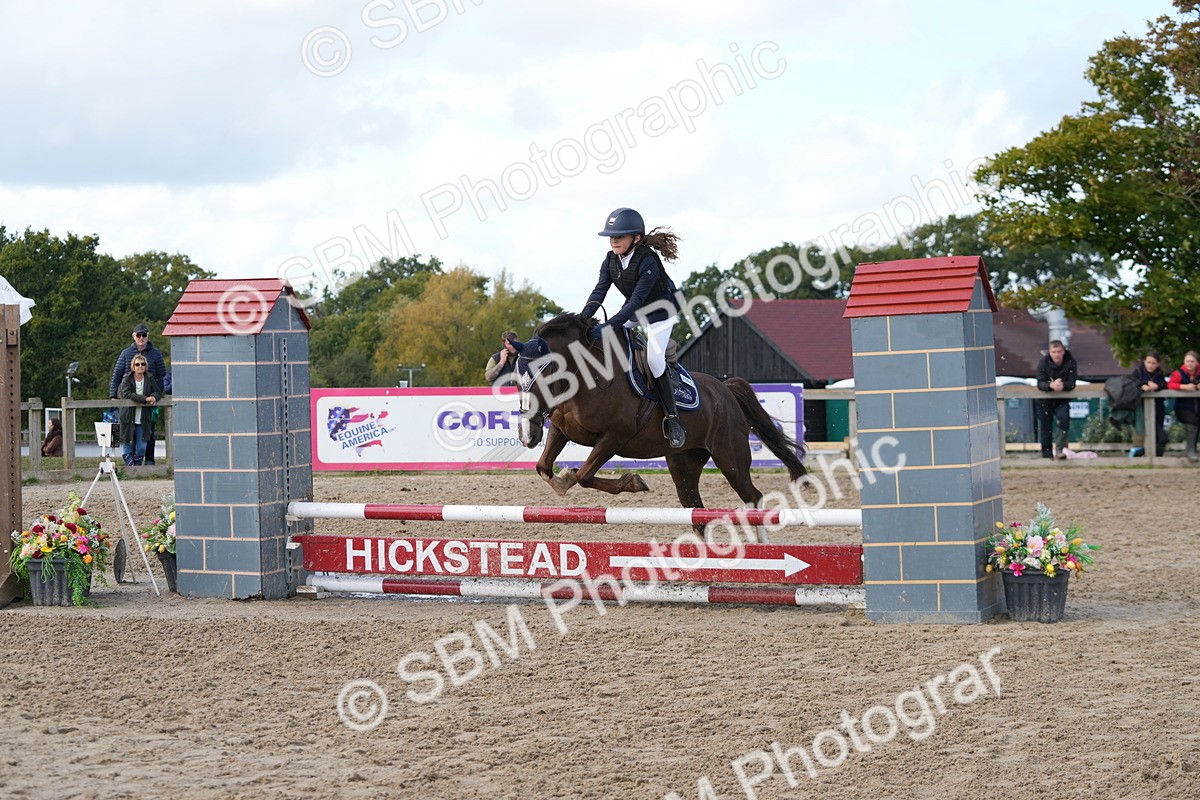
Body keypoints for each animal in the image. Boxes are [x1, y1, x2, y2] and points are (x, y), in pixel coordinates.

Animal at [515, 312, 807, 518]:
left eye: (543, 376)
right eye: (517, 382)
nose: (528, 436)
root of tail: (725, 389)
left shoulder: (614, 437)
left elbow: (585, 475)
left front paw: (633, 482)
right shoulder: (561, 429)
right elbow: (544, 467)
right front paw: (563, 480)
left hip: (731, 459)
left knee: (753, 497)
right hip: (685, 462)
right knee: (695, 506)